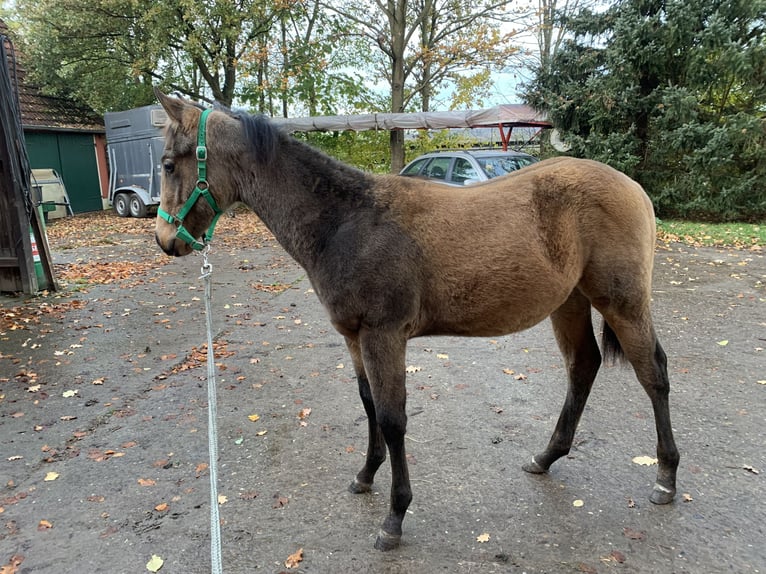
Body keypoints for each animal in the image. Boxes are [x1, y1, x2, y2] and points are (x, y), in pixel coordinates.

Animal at [153, 90, 680, 552]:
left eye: (168, 163)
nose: (165, 240)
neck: (347, 221)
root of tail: (633, 187)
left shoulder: (384, 336)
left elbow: (392, 419)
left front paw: (394, 518)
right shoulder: (355, 338)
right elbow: (369, 405)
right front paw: (366, 476)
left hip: (623, 303)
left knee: (653, 373)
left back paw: (666, 477)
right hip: (569, 303)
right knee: (583, 367)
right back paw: (546, 457)